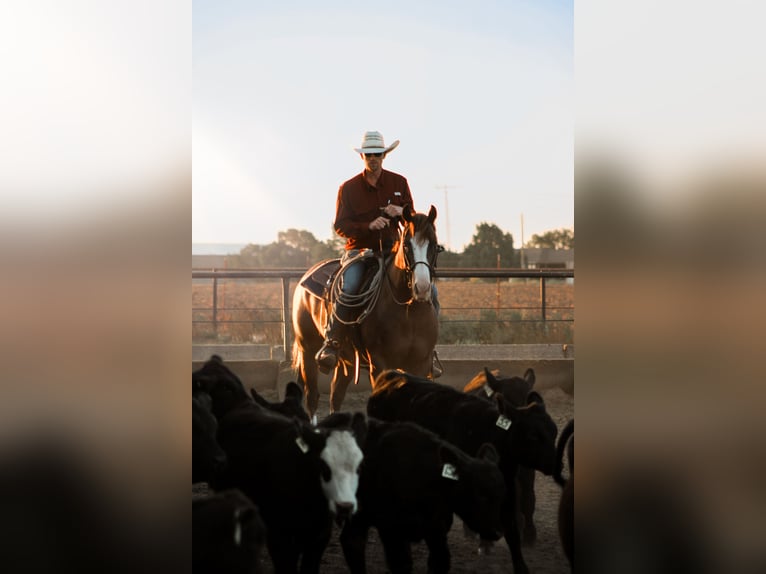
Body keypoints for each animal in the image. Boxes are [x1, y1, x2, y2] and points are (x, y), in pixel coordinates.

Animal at [292, 205, 440, 420]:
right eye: (406, 245)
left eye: (434, 245)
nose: (422, 287)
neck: (408, 312)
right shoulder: (379, 364)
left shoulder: (420, 363)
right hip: (308, 350)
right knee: (312, 397)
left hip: (346, 360)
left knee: (336, 396)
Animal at [320, 414, 508, 574]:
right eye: (481, 495)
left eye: (500, 497)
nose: (497, 533)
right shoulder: (391, 530)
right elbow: (402, 564)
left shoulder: (436, 530)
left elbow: (440, 562)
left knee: (352, 541)